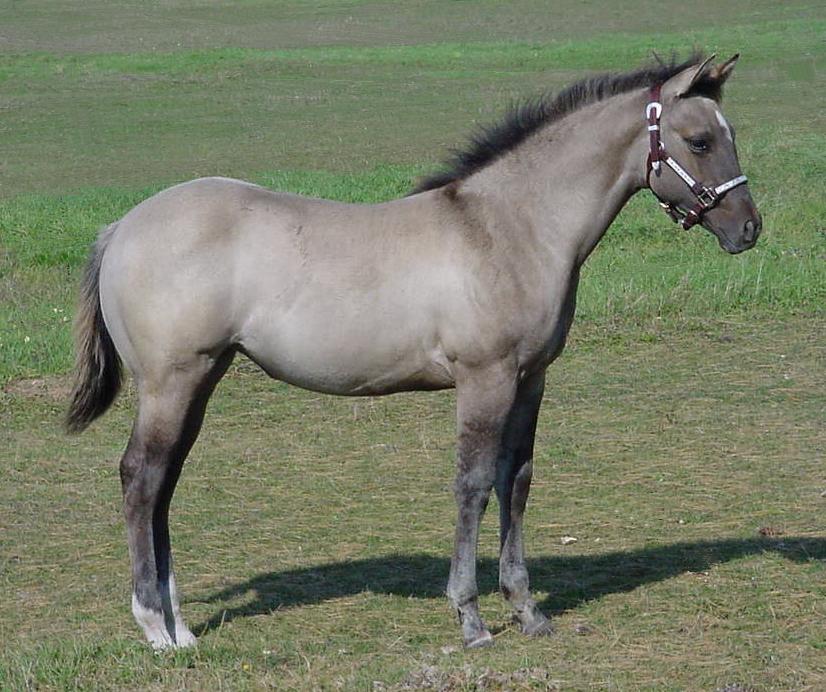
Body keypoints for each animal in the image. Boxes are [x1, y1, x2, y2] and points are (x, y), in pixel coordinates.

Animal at [66, 52, 760, 648]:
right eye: (700, 140)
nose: (749, 229)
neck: (507, 228)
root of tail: (122, 226)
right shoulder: (485, 378)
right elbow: (473, 484)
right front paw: (471, 618)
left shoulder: (530, 379)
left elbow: (516, 481)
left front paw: (527, 612)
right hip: (171, 381)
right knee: (141, 477)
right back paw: (155, 628)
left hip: (201, 379)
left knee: (164, 482)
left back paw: (180, 626)